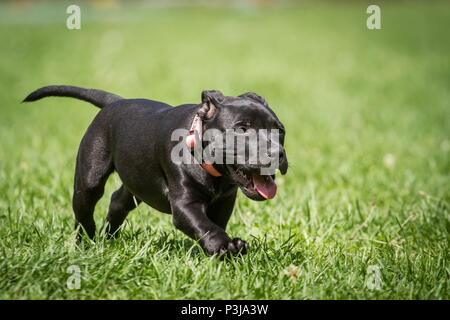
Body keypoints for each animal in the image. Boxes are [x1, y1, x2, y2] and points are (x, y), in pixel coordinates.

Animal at [22, 86, 288, 256]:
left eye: (280, 130)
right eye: (242, 129)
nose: (277, 153)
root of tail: (116, 101)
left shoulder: (224, 202)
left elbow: (212, 224)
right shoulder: (184, 204)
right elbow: (205, 226)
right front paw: (224, 247)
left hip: (138, 183)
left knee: (117, 200)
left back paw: (109, 238)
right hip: (90, 180)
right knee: (83, 213)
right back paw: (86, 243)